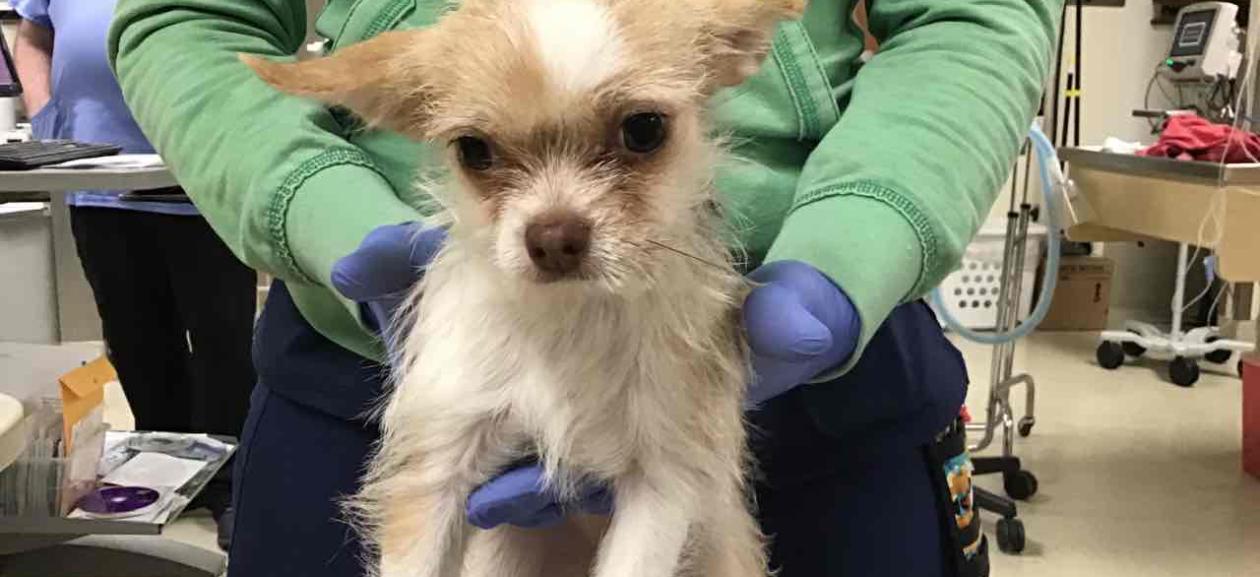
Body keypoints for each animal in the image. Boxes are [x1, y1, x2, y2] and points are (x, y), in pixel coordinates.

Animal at [240, 2, 801, 574]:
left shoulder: (661, 483)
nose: (553, 239)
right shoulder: (438, 467)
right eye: (473, 149)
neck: (567, 319)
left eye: (644, 129)